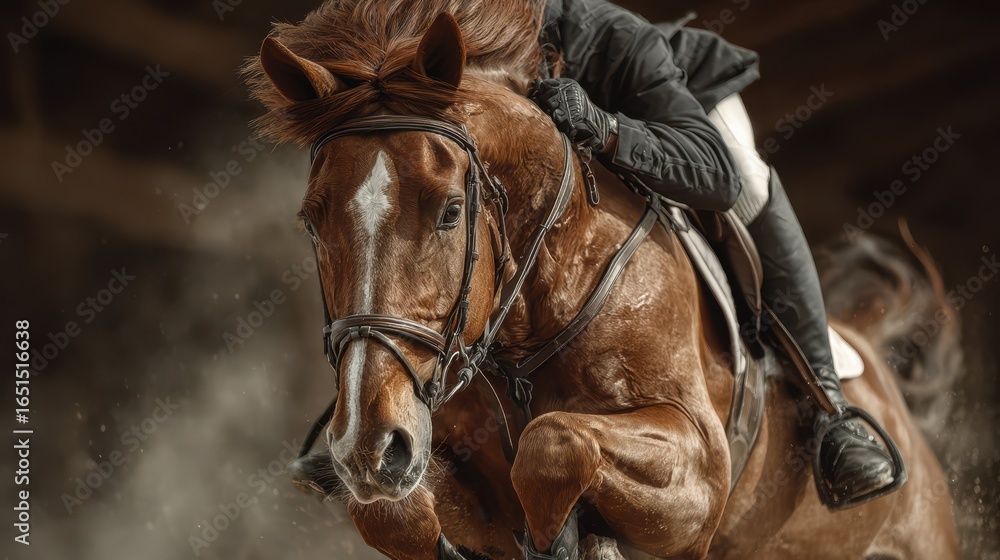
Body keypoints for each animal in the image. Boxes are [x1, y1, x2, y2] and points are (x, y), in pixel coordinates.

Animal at [245, 2, 961, 558]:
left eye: (450, 211)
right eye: (313, 222)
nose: (368, 449)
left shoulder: (700, 472)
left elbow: (552, 443)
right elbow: (397, 512)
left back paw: (852, 447)